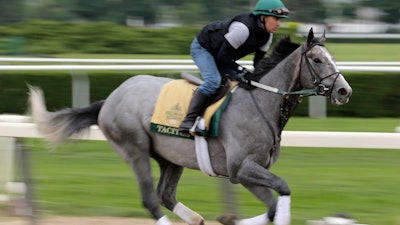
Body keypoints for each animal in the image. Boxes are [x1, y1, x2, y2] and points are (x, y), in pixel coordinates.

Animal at [28, 28, 352, 225]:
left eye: (333, 57)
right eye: (317, 59)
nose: (344, 91)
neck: (260, 101)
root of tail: (110, 98)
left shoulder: (249, 172)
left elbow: (273, 207)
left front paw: (230, 218)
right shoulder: (240, 168)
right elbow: (280, 192)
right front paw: (230, 218)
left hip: (171, 159)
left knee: (165, 195)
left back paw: (196, 218)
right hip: (134, 149)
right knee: (150, 199)